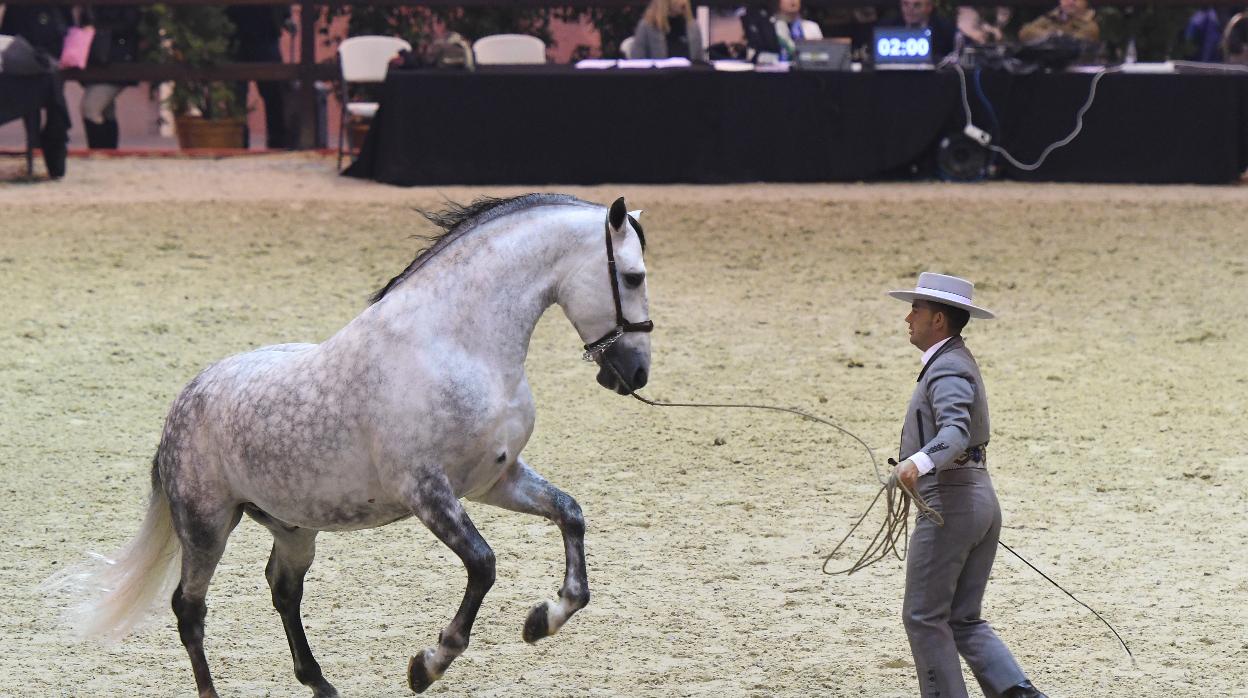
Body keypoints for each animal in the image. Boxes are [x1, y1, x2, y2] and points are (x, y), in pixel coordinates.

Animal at [51, 193, 653, 694]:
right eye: (632, 276)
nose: (635, 374)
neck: (456, 344)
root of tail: (183, 402)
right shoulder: (427, 492)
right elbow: (483, 565)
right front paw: (427, 665)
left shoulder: (494, 480)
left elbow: (570, 515)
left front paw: (542, 620)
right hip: (206, 527)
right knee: (189, 609)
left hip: (293, 527)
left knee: (282, 590)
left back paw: (320, 683)